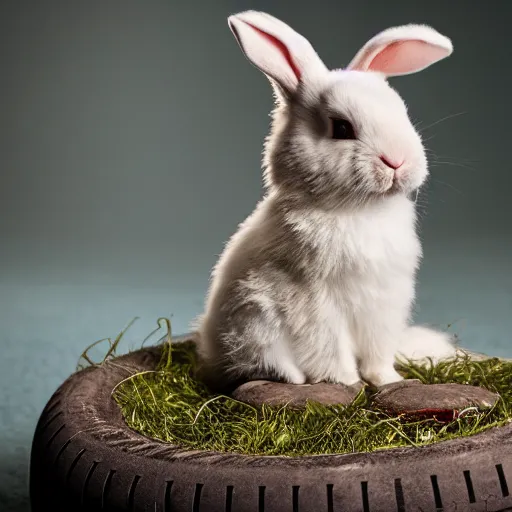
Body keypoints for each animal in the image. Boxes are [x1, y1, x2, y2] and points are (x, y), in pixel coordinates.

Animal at [195, 11, 456, 392]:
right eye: (342, 128)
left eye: (402, 113)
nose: (397, 162)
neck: (358, 209)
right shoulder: (314, 301)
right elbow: (329, 348)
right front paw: (346, 383)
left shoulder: (384, 304)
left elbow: (378, 353)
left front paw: (389, 381)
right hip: (254, 320)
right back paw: (293, 378)